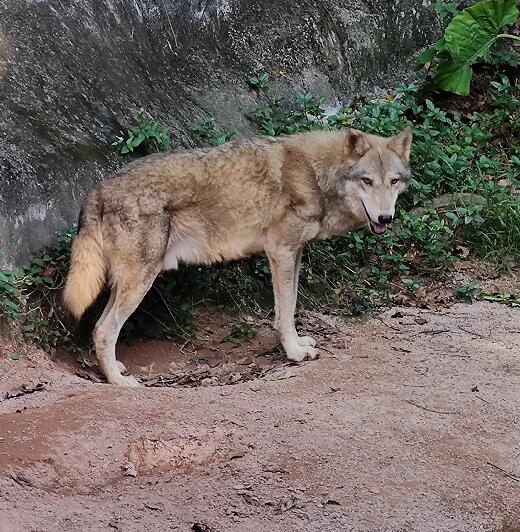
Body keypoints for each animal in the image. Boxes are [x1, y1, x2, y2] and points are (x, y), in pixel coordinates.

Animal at [64, 129, 414, 386]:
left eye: (394, 181)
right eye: (367, 181)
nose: (385, 217)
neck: (316, 175)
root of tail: (96, 192)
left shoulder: (294, 253)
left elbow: (288, 308)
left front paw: (298, 345)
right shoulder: (281, 253)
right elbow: (286, 311)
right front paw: (294, 353)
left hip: (128, 284)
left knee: (99, 328)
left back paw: (116, 370)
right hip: (140, 281)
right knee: (104, 330)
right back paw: (119, 383)